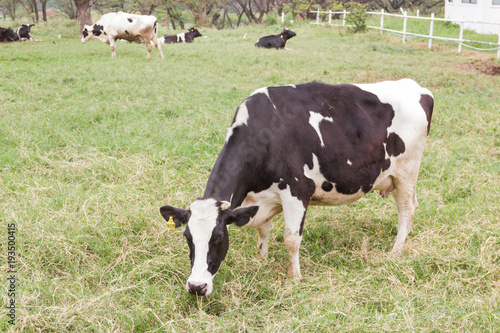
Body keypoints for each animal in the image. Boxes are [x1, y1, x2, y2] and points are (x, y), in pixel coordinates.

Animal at [161, 78, 434, 296]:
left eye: (218, 237)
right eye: (187, 237)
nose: (197, 287)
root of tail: (415, 86)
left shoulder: (297, 190)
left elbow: (291, 239)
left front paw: (294, 279)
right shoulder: (262, 199)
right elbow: (262, 230)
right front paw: (261, 260)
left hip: (407, 171)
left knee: (407, 211)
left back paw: (395, 253)